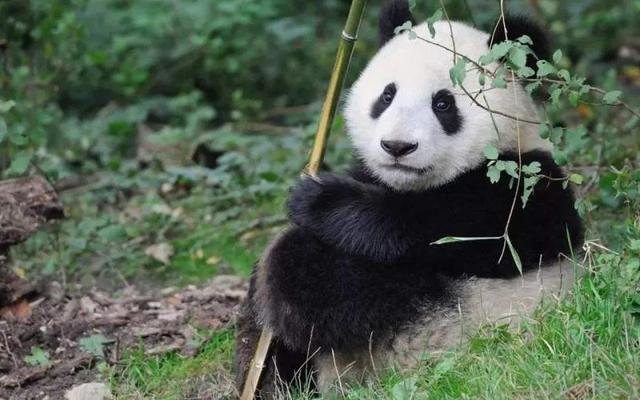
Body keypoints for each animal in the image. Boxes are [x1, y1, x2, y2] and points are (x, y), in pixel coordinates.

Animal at [236, 0, 584, 396]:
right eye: (387, 96)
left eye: (443, 104)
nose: (397, 146)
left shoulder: (526, 190)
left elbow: (457, 228)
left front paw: (320, 201)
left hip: (448, 321)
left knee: (329, 277)